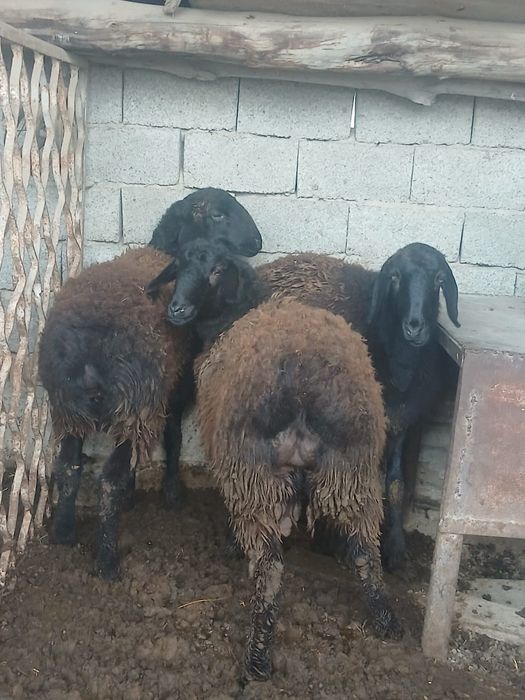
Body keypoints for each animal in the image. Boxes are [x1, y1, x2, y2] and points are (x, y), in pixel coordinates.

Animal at [38, 188, 262, 580]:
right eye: (218, 214)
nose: (257, 242)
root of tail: (89, 344)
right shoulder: (174, 387)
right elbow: (173, 436)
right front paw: (171, 493)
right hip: (135, 404)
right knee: (109, 480)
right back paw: (107, 561)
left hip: (67, 406)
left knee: (68, 466)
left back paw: (63, 533)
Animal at [148, 240, 403, 681]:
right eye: (177, 265)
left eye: (217, 270)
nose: (176, 309)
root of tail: (303, 379)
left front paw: (230, 546)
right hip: (351, 471)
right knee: (366, 550)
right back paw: (385, 621)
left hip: (255, 474)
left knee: (270, 567)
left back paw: (258, 658)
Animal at [256, 243, 460, 570]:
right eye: (395, 277)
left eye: (439, 279)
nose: (415, 327)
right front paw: (345, 544)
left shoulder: (401, 421)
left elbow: (396, 485)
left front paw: (395, 550)